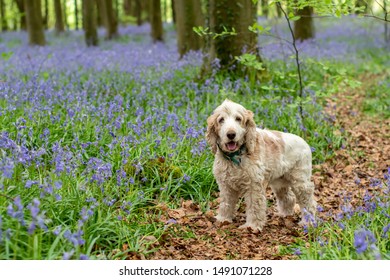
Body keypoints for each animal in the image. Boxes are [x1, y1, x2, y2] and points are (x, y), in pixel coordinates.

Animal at [206, 99, 316, 231]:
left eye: (238, 119)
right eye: (221, 120)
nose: (231, 134)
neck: (235, 157)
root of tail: (305, 142)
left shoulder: (254, 185)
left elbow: (254, 207)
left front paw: (252, 226)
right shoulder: (225, 185)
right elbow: (226, 203)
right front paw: (223, 219)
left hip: (300, 181)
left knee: (308, 200)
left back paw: (308, 222)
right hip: (280, 182)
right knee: (288, 197)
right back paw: (285, 215)